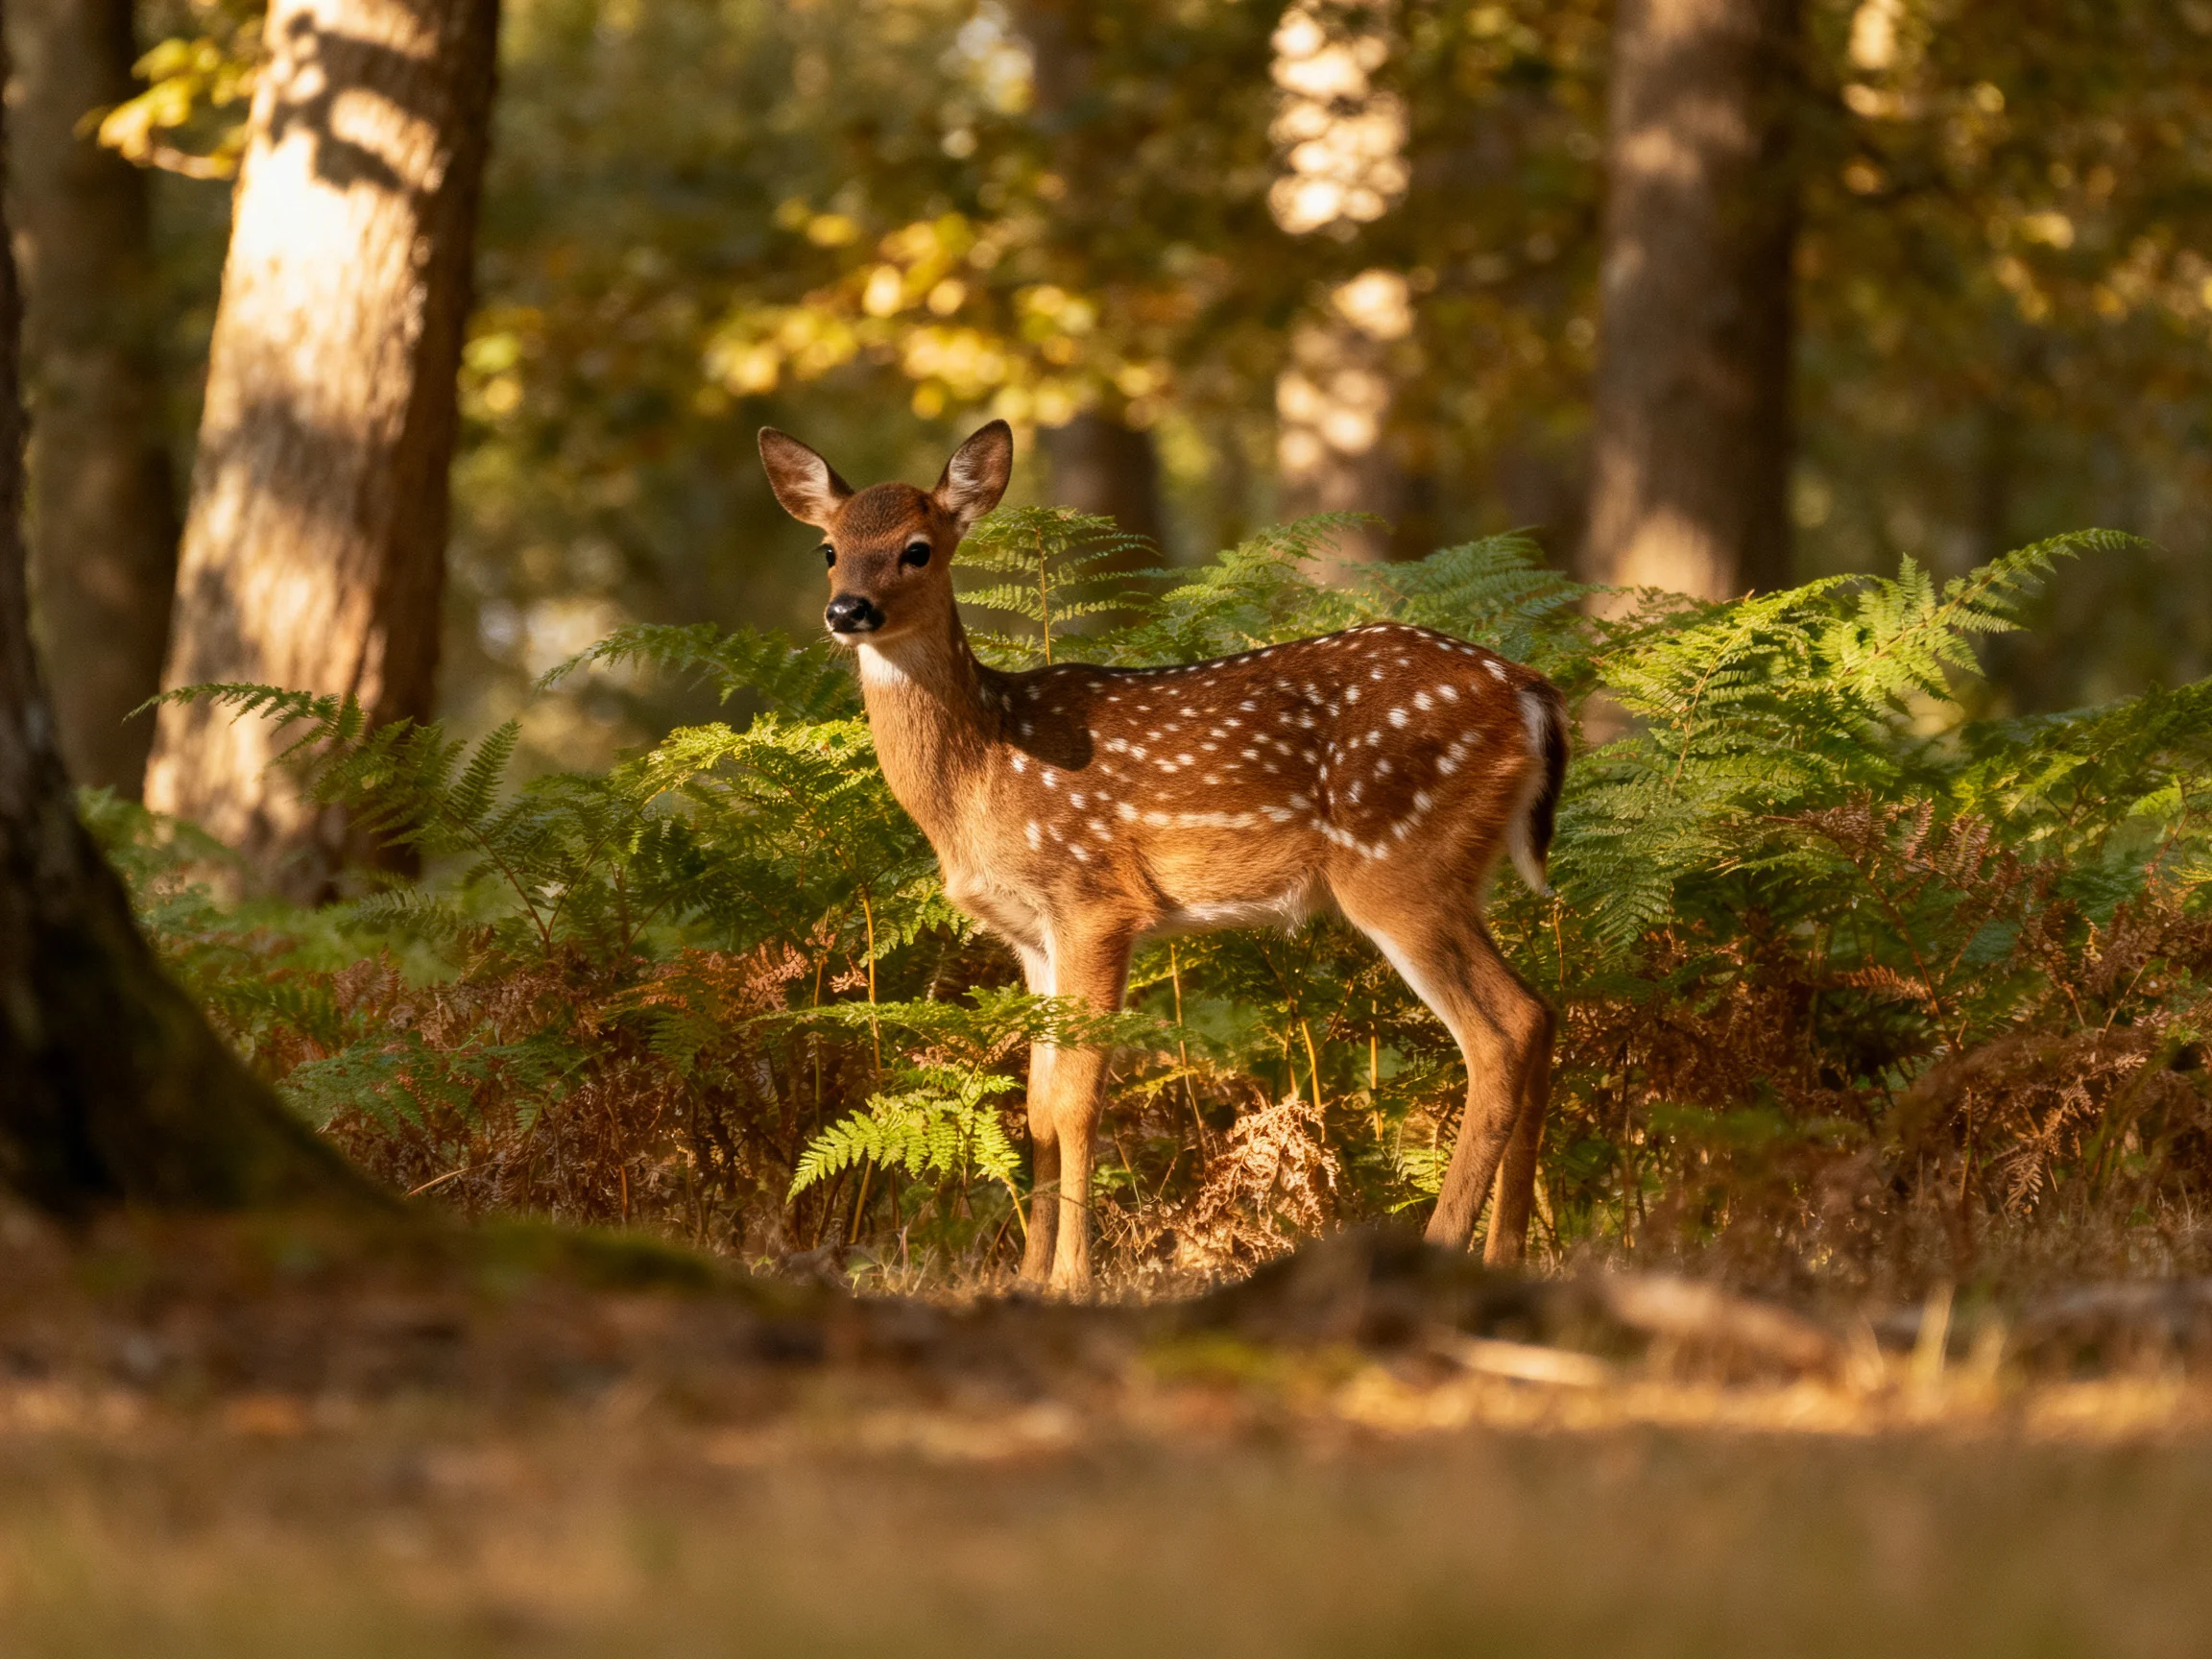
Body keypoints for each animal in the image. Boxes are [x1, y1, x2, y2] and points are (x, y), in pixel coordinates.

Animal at [759, 419, 1568, 1295]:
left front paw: (1072, 1281)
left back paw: (1444, 1247)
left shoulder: (1094, 899)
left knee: (1500, 1031)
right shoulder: (1031, 936)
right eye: (829, 549)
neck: (981, 773)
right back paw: (1509, 1254)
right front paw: (1026, 1280)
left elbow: (1077, 1100)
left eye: (917, 549)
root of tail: (1529, 691)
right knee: (1540, 1012)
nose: (848, 610)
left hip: (1399, 866)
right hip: (1453, 874)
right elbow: (1036, 1108)